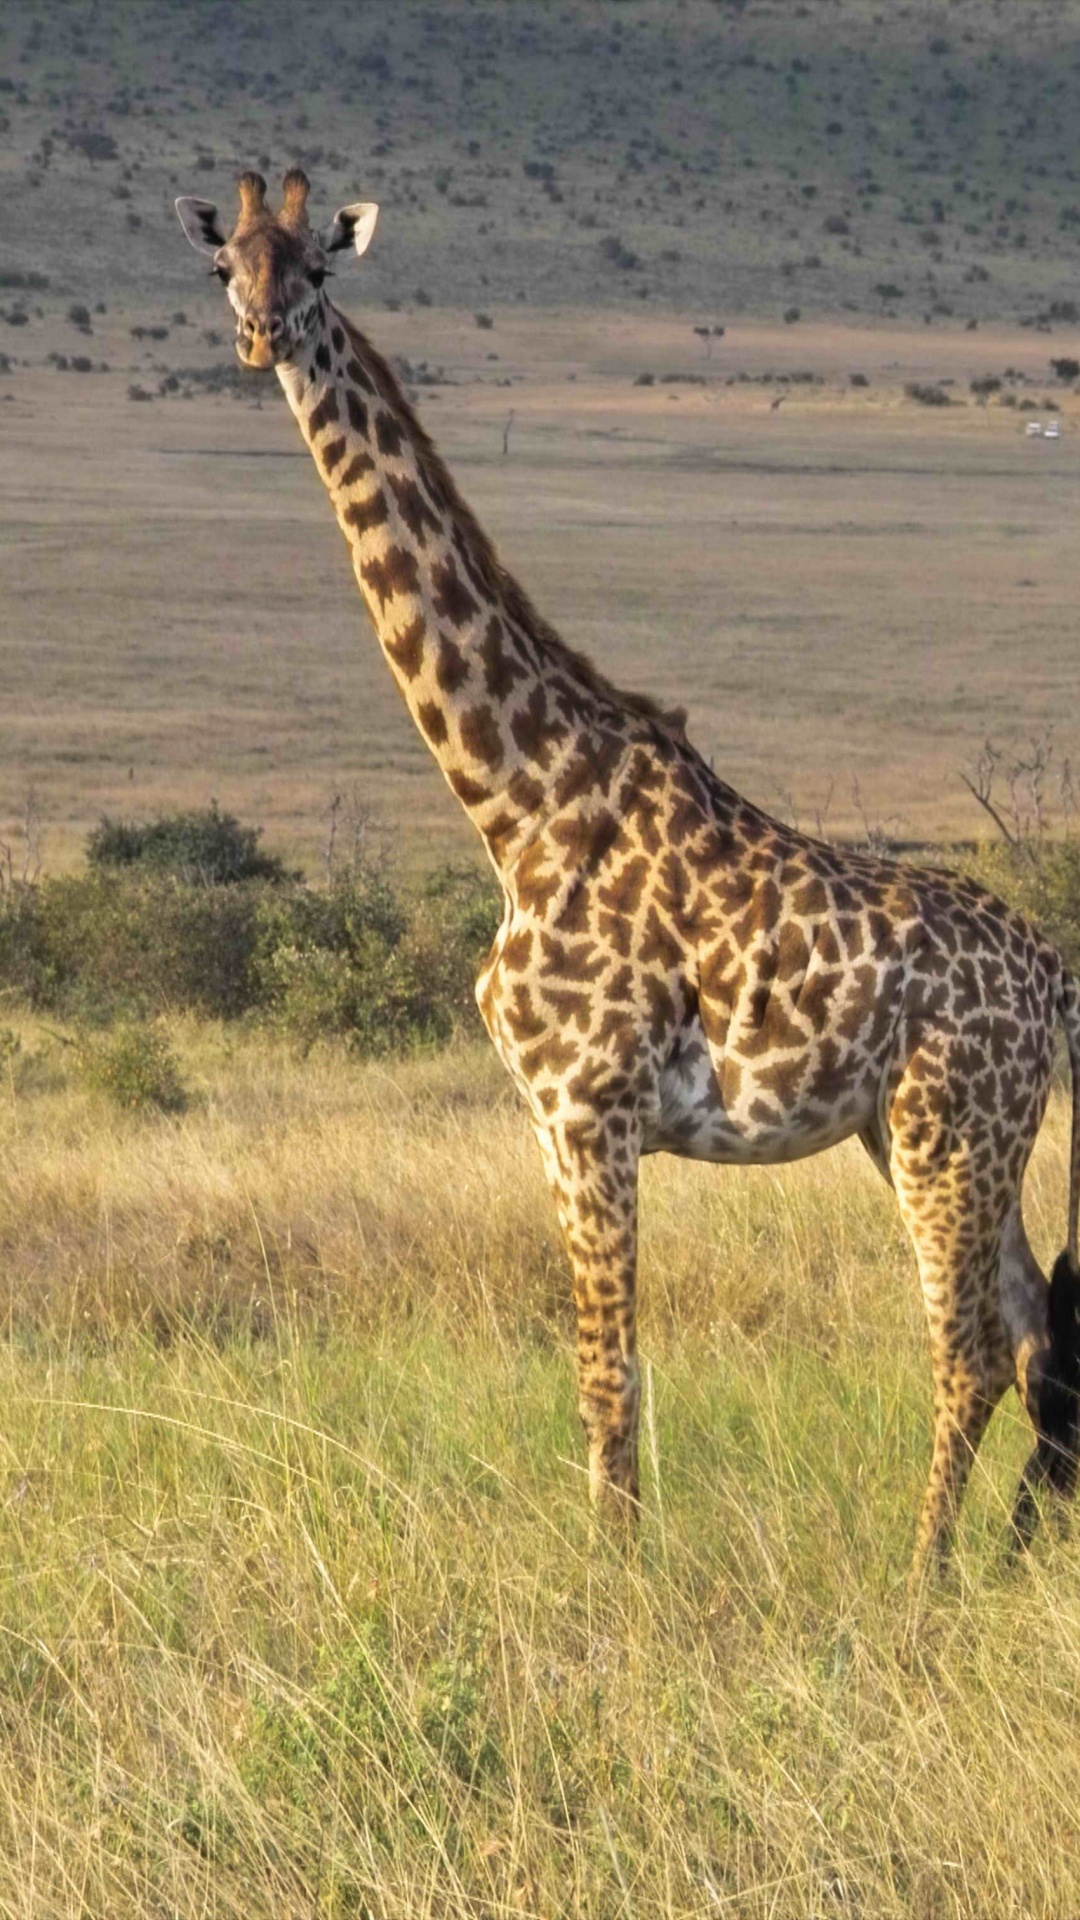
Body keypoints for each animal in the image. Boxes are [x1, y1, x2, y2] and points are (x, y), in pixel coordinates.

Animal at [176, 170, 1080, 1578]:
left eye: (315, 270)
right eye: (228, 268)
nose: (262, 338)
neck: (519, 800)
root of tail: (1051, 979)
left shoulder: (590, 1107)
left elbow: (610, 1376)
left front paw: (615, 1582)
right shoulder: (552, 1121)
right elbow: (606, 1375)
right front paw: (617, 1559)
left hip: (954, 1127)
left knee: (973, 1348)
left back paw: (924, 1575)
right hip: (921, 1132)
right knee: (1035, 1333)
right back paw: (1005, 1561)